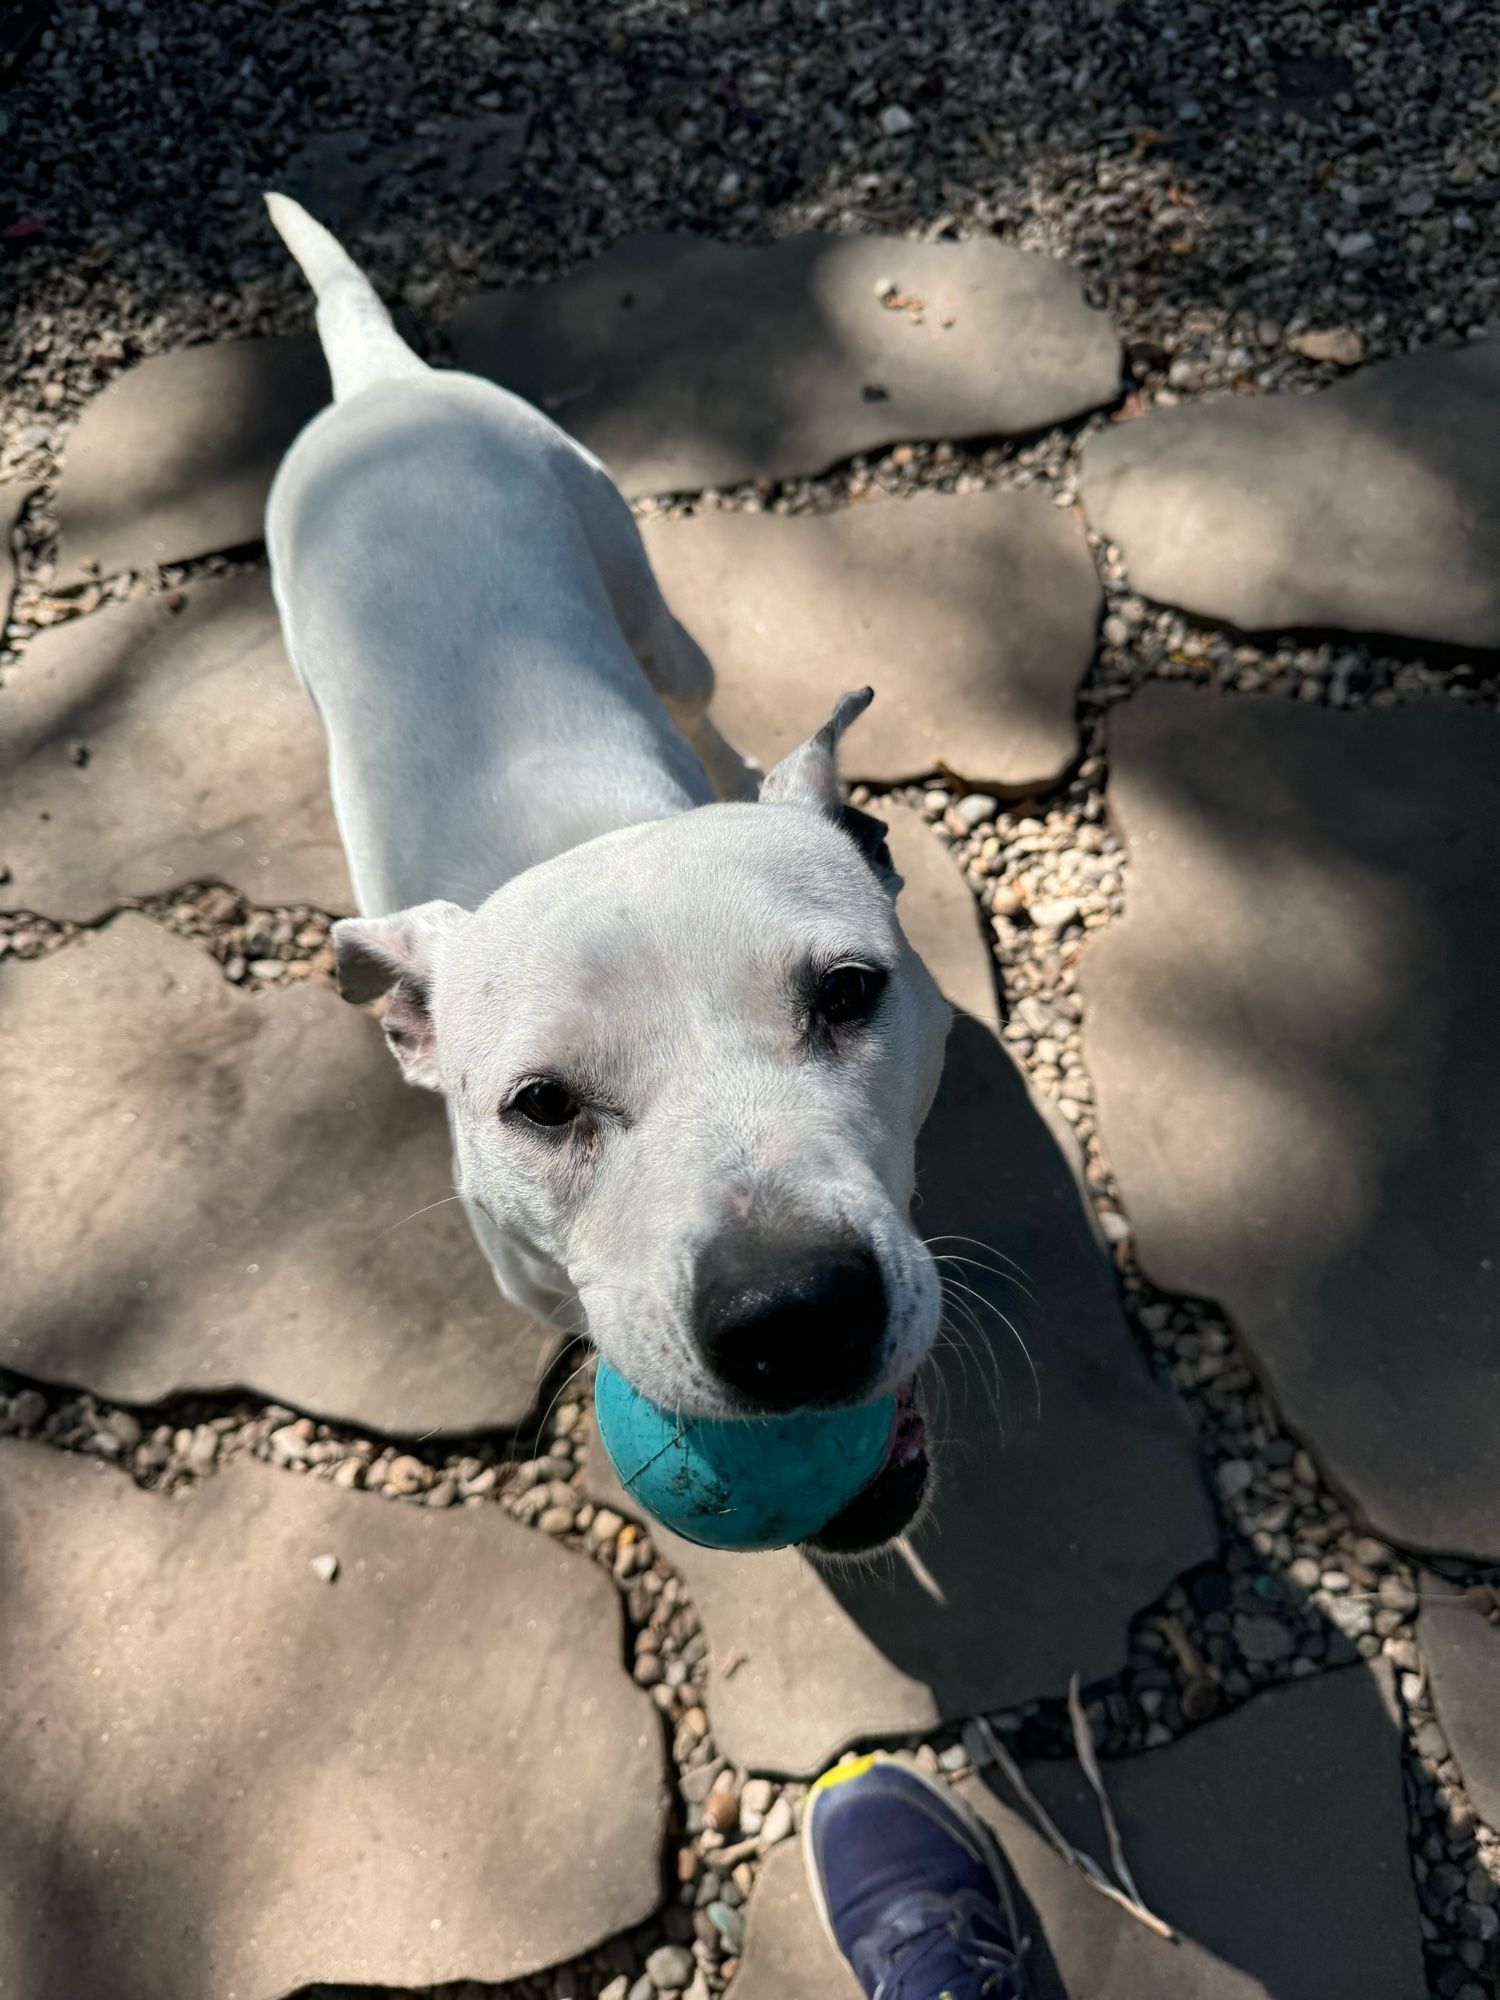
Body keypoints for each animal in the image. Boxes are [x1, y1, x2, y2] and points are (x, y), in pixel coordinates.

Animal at [266, 199, 952, 1544]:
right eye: (540, 1104)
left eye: (848, 992)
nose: (793, 1316)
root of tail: (382, 383)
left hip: (647, 601)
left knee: (696, 692)